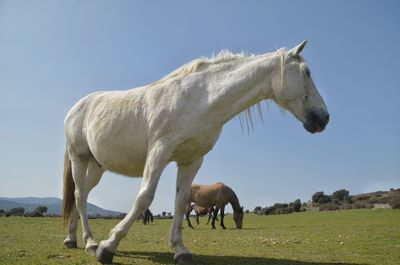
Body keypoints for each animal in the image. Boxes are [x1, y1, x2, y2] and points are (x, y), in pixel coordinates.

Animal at [61, 40, 328, 262]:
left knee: (80, 195)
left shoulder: (191, 161)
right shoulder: (158, 153)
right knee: (80, 196)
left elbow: (180, 203)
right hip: (79, 157)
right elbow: (144, 197)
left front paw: (180, 250)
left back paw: (73, 239)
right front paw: (109, 246)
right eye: (307, 72)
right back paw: (90, 243)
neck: (199, 99)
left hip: (97, 166)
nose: (323, 118)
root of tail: (77, 107)